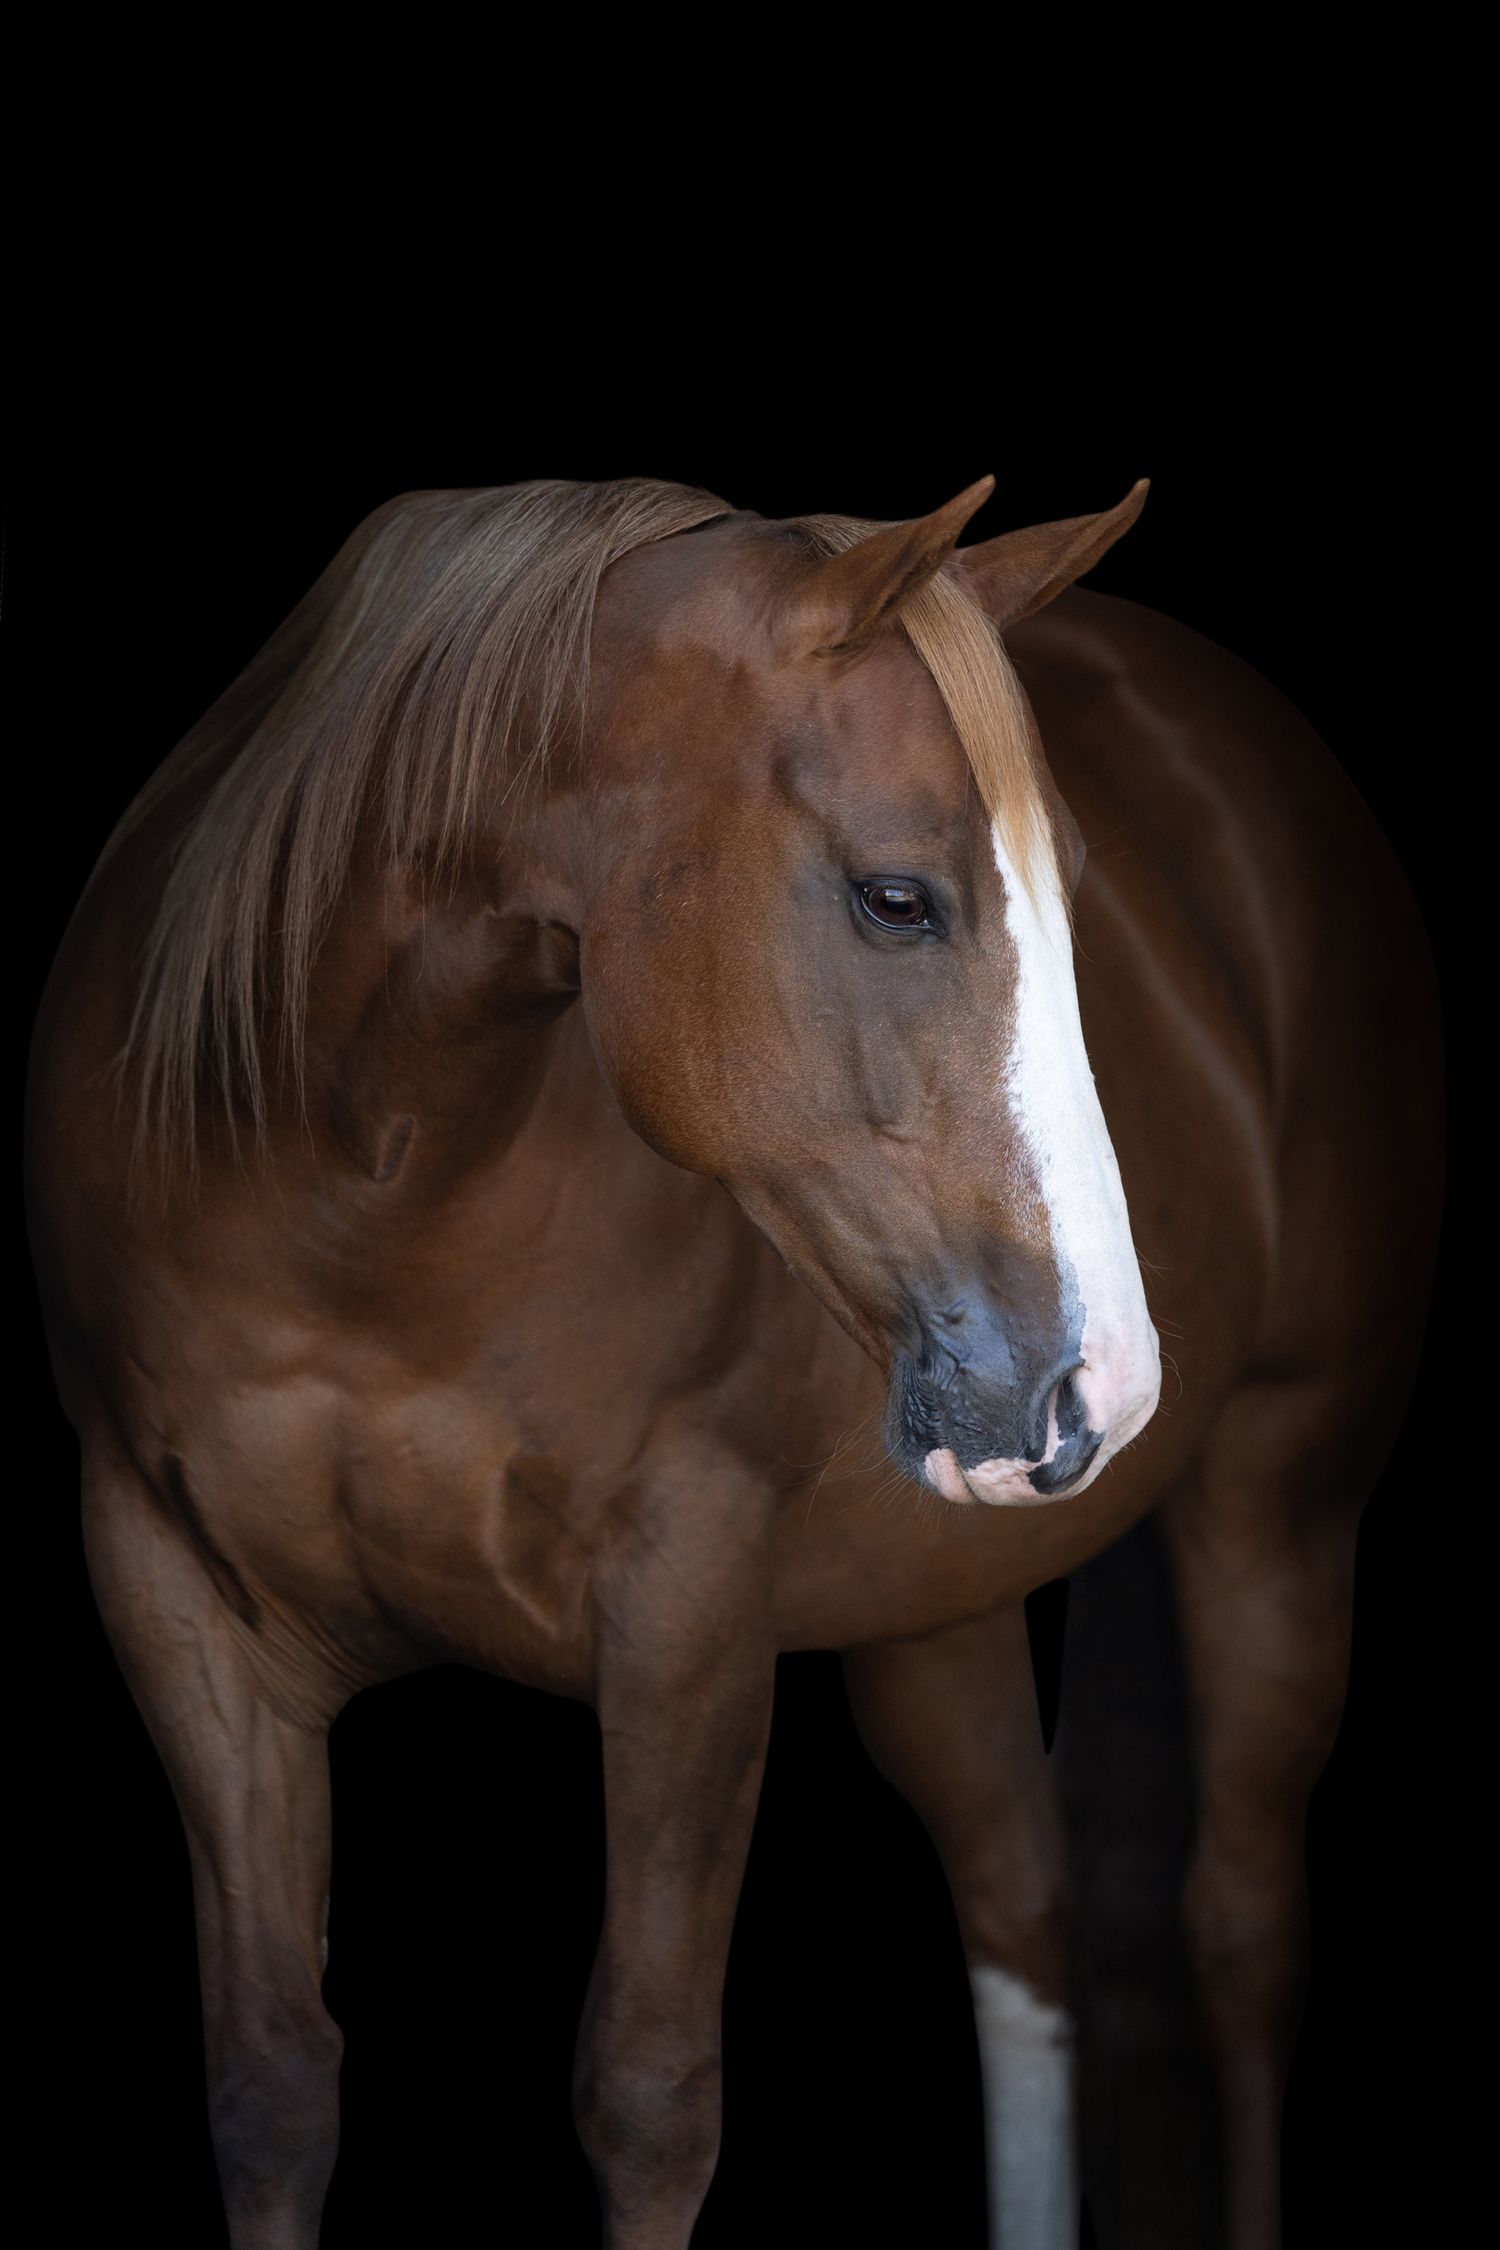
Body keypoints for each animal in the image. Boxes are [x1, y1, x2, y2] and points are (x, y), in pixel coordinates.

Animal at [25, 472, 1441, 2249]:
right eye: (897, 895)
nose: (1106, 1383)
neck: (361, 1200)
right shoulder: (180, 1608)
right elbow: (271, 2085)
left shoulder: (687, 1611)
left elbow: (648, 2093)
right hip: (935, 1600)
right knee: (1025, 1912)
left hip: (1277, 1512)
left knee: (1241, 1942)